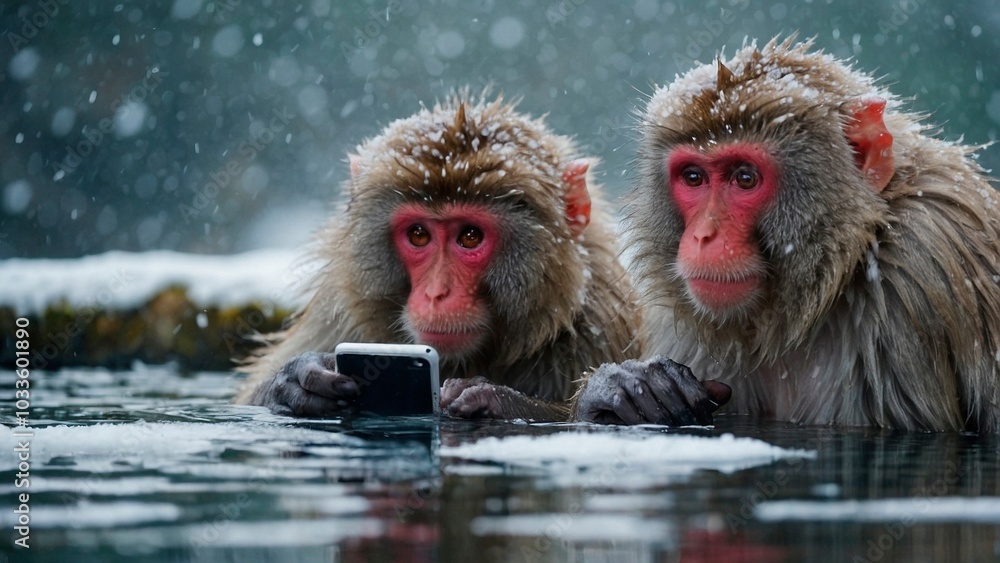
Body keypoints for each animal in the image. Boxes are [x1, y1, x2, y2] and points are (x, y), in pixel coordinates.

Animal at [234, 93, 639, 421]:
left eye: (470, 236)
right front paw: (295, 381)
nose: (436, 293)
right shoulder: (338, 316)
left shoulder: (597, 326)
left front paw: (494, 399)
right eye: (419, 234)